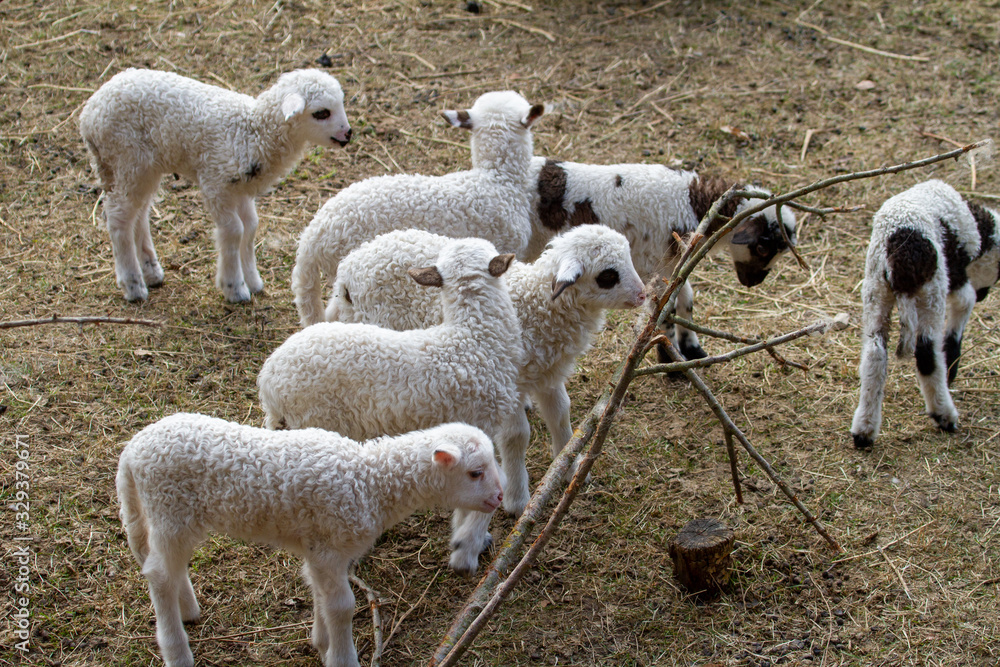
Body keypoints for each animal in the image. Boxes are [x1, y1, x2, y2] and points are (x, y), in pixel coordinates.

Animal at [80, 68, 351, 303]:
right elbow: (234, 230)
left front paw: (253, 281)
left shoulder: (240, 190)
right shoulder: (216, 182)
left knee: (140, 214)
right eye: (321, 113)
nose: (348, 134)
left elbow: (250, 227)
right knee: (119, 218)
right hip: (126, 159)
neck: (252, 131)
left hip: (144, 167)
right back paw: (133, 285)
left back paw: (152, 272)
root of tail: (90, 113)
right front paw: (235, 288)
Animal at [117, 414, 503, 667]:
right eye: (475, 473)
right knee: (159, 575)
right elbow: (343, 606)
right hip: (169, 510)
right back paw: (177, 652)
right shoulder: (330, 548)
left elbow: (321, 594)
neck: (370, 481)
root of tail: (132, 451)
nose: (499, 498)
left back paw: (188, 610)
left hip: (168, 517)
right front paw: (343, 658)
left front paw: (321, 642)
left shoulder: (323, 549)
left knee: (168, 566)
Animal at [329, 225, 646, 515]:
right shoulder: (508, 382)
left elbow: (561, 414)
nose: (643, 296)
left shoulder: (546, 373)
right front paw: (518, 500)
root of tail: (346, 272)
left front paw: (570, 468)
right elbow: (517, 436)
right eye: (608, 276)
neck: (538, 305)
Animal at [523, 157, 797, 362]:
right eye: (762, 248)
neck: (693, 202)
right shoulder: (656, 264)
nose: (753, 282)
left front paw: (692, 349)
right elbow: (666, 311)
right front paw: (671, 359)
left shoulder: (673, 264)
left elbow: (686, 299)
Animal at [851, 180, 1000, 449]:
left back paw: (864, 431)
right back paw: (944, 415)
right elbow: (964, 307)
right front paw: (952, 368)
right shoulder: (957, 278)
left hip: (875, 289)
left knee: (874, 355)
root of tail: (898, 252)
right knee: (926, 354)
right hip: (931, 291)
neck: (975, 226)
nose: (985, 295)